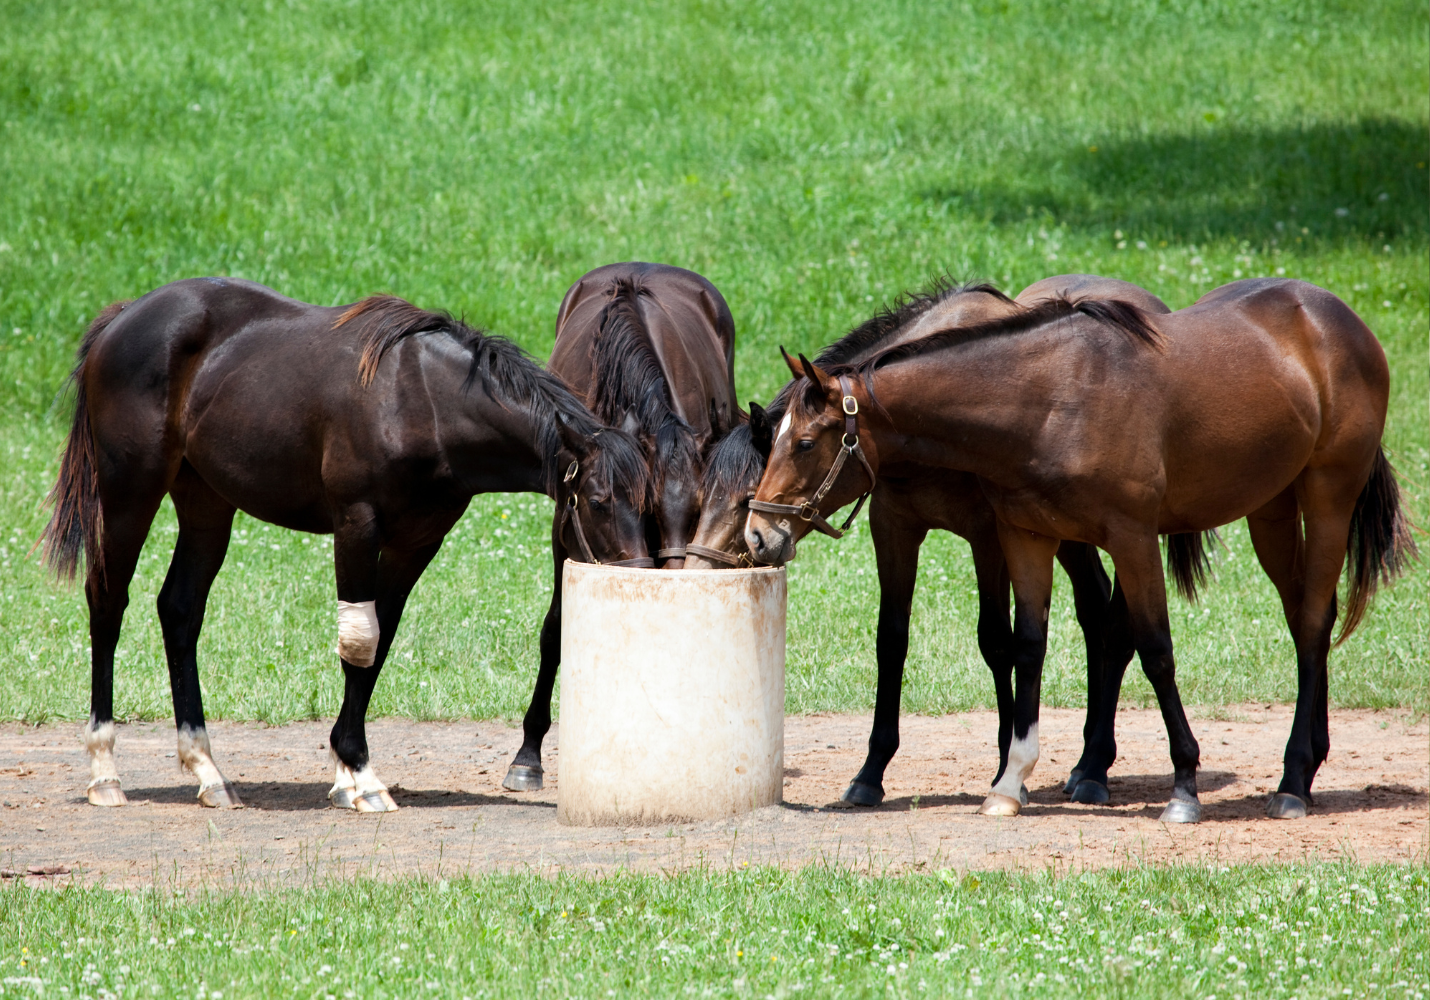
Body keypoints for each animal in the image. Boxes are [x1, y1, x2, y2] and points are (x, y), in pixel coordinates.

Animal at [43, 277, 652, 812]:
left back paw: (208, 772)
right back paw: (104, 772)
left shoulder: (417, 541)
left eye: (647, 502)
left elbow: (378, 642)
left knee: (179, 609)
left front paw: (344, 775)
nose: (640, 576)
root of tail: (125, 316)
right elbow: (360, 640)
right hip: (129, 492)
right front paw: (361, 773)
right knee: (108, 603)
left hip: (206, 503)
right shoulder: (356, 526)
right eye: (597, 501)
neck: (424, 398)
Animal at [689, 277, 1173, 813]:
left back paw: (1095, 767)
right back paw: (1085, 763)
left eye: (741, 498)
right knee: (1094, 611)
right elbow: (891, 640)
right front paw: (871, 772)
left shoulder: (990, 538)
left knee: (1113, 626)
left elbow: (997, 642)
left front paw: (1007, 767)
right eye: (703, 495)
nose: (755, 537)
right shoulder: (894, 527)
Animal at [746, 278, 1414, 822]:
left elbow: (1156, 650)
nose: (758, 533)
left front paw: (1184, 786)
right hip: (1269, 508)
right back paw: (1303, 765)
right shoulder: (1025, 537)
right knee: (1303, 619)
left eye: (803, 443)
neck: (1049, 400)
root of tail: (1336, 317)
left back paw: (1293, 780)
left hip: (1328, 496)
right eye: (770, 440)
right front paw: (1010, 782)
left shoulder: (1132, 539)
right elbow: (1026, 645)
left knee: (1313, 618)